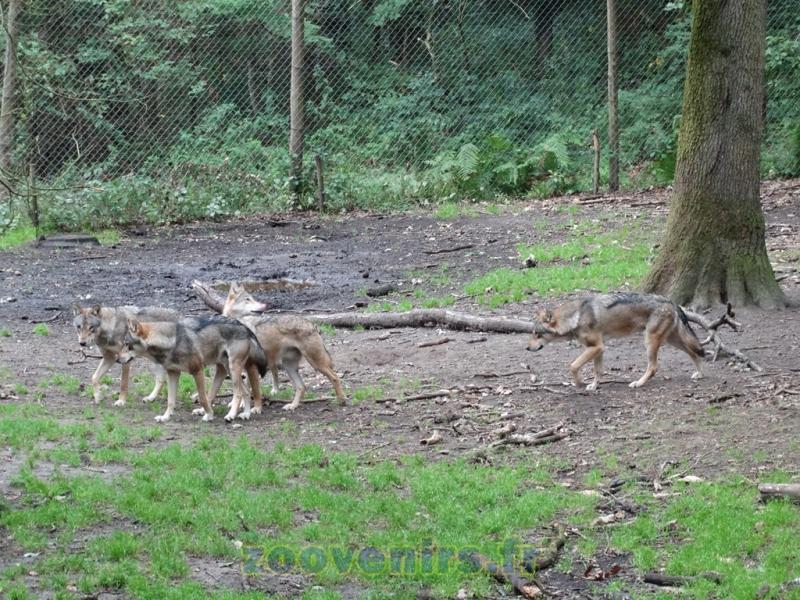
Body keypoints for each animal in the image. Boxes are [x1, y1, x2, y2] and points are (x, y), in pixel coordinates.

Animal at [117, 314, 267, 422]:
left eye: (126, 344)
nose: (117, 359)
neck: (172, 342)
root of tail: (244, 327)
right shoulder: (173, 373)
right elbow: (170, 400)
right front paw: (165, 417)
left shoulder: (197, 371)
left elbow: (202, 398)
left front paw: (209, 415)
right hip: (229, 369)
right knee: (246, 392)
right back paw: (246, 414)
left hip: (234, 370)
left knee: (239, 393)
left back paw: (231, 415)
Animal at [217, 281, 346, 414]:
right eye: (247, 299)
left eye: (253, 298)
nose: (265, 305)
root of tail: (311, 324)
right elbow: (240, 388)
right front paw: (237, 404)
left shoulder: (251, 366)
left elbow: (251, 389)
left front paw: (253, 408)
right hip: (288, 365)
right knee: (301, 386)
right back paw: (293, 405)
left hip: (316, 363)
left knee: (335, 377)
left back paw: (342, 400)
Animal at [527, 292, 705, 390]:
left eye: (537, 334)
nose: (527, 348)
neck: (575, 317)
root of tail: (671, 301)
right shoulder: (598, 349)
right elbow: (598, 371)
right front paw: (594, 386)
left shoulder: (596, 347)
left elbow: (573, 366)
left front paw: (579, 382)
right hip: (671, 340)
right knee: (694, 352)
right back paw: (699, 374)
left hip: (650, 342)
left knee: (654, 367)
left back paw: (638, 383)